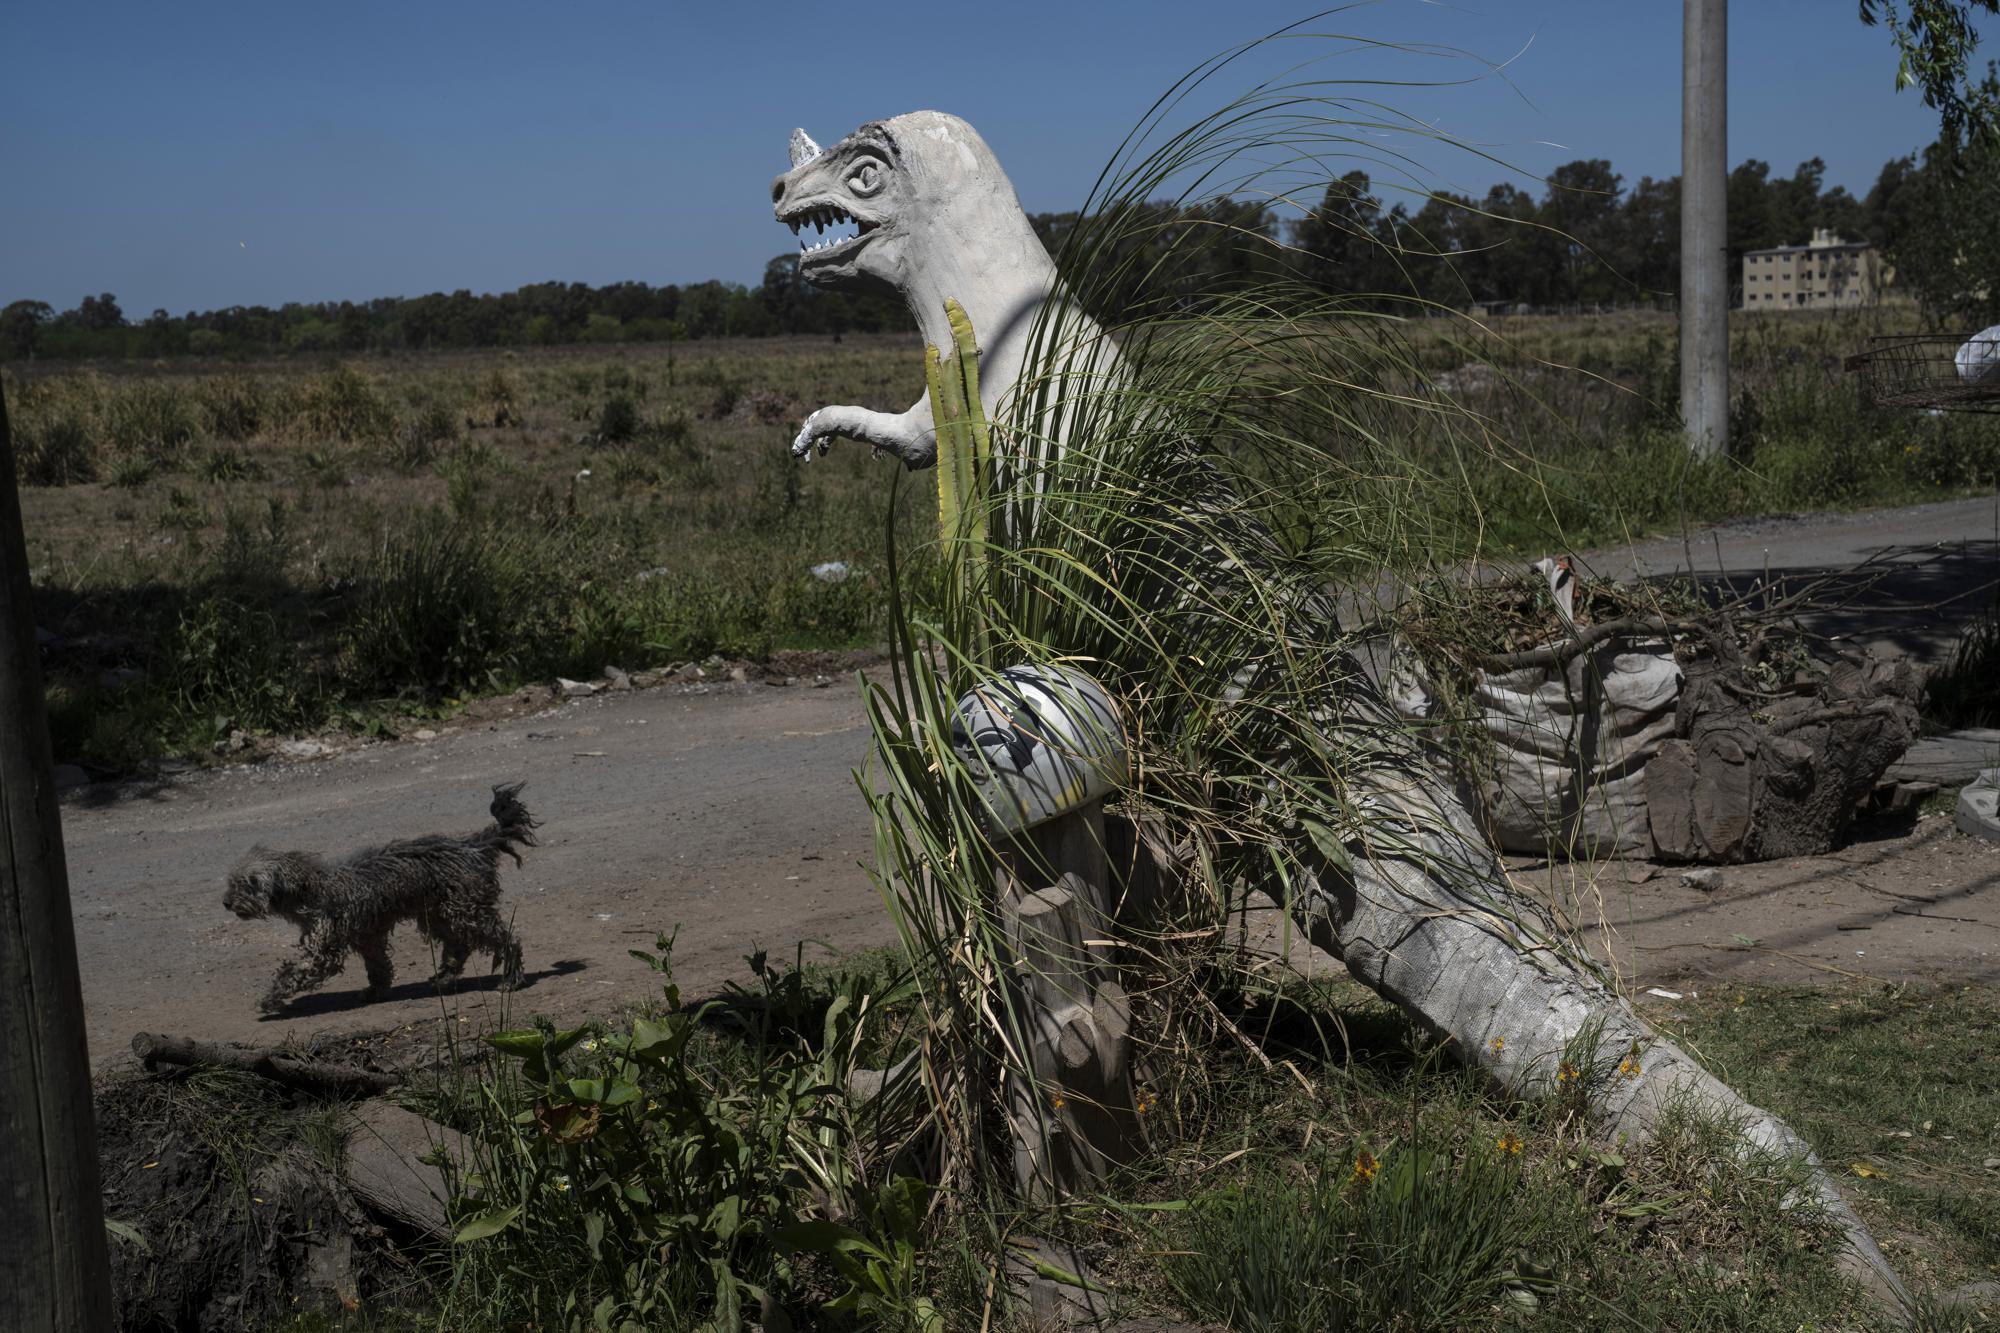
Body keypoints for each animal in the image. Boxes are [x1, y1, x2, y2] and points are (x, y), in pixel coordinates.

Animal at [225, 780, 540, 1008]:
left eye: (248, 883)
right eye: (231, 882)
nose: (226, 903)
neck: (310, 890)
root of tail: (473, 845)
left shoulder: (324, 950)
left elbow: (293, 971)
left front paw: (271, 998)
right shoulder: (367, 937)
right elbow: (378, 967)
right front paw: (375, 991)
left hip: (466, 912)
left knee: (506, 940)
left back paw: (511, 978)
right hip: (440, 914)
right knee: (459, 946)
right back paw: (445, 977)